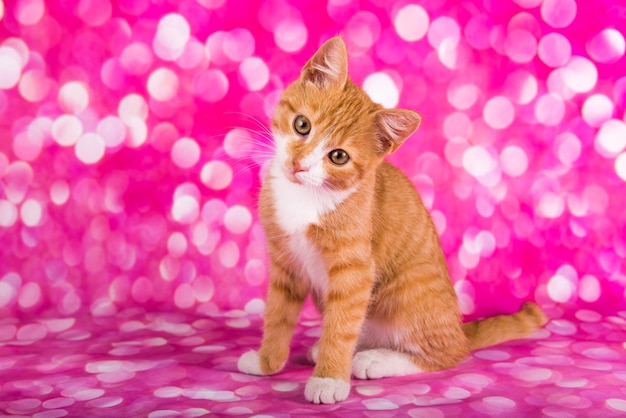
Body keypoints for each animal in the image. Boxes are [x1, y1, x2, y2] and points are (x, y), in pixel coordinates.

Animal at [236, 36, 544, 404]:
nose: (299, 165)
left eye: (338, 156)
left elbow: (342, 326)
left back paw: (374, 360)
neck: (306, 196)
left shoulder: (355, 270)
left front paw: (329, 378)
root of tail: (458, 328)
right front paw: (267, 361)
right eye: (302, 125)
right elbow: (278, 315)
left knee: (448, 353)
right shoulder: (286, 262)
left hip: (408, 291)